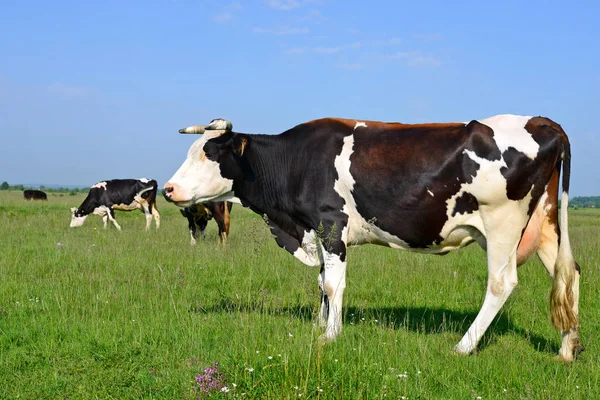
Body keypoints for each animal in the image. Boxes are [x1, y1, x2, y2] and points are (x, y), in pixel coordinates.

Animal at [162, 115, 584, 362]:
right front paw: (319, 325)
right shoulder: (318, 229)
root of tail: (542, 121)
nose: (168, 189)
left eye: (209, 154)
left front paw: (329, 336)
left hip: (502, 225)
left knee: (501, 283)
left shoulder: (331, 222)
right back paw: (567, 348)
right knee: (568, 274)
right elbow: (321, 281)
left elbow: (333, 283)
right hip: (546, 225)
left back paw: (463, 346)